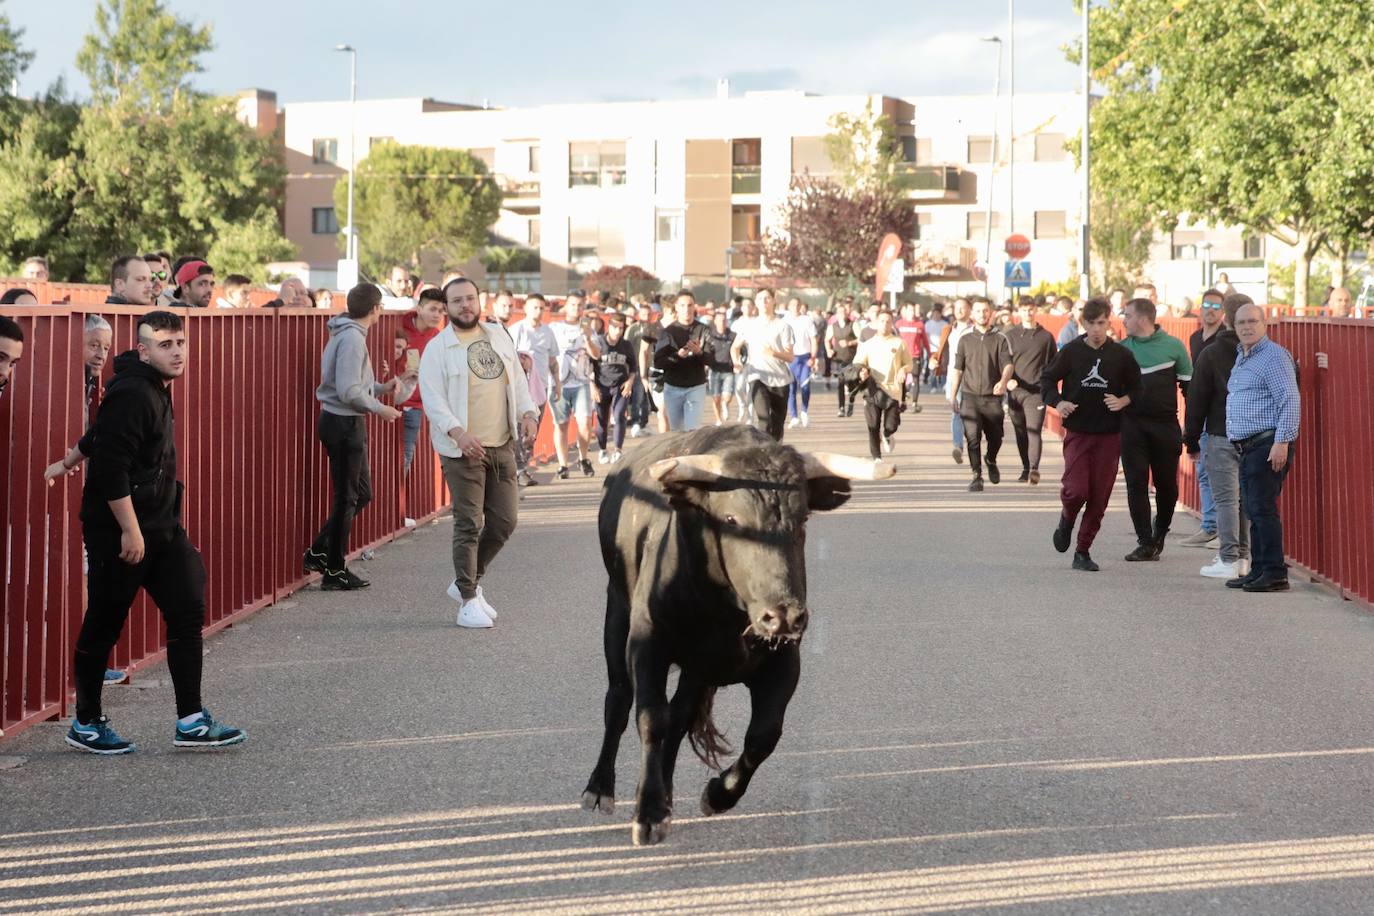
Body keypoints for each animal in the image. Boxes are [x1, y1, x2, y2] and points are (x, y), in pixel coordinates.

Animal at [577, 425, 890, 851]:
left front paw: (717, 794)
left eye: (803, 517)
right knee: (619, 700)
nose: (784, 615)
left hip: (696, 670)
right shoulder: (647, 644)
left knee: (680, 716)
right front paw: (648, 813)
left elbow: (763, 735)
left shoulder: (783, 662)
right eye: (731, 518)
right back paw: (599, 790)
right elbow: (651, 718)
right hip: (616, 613)